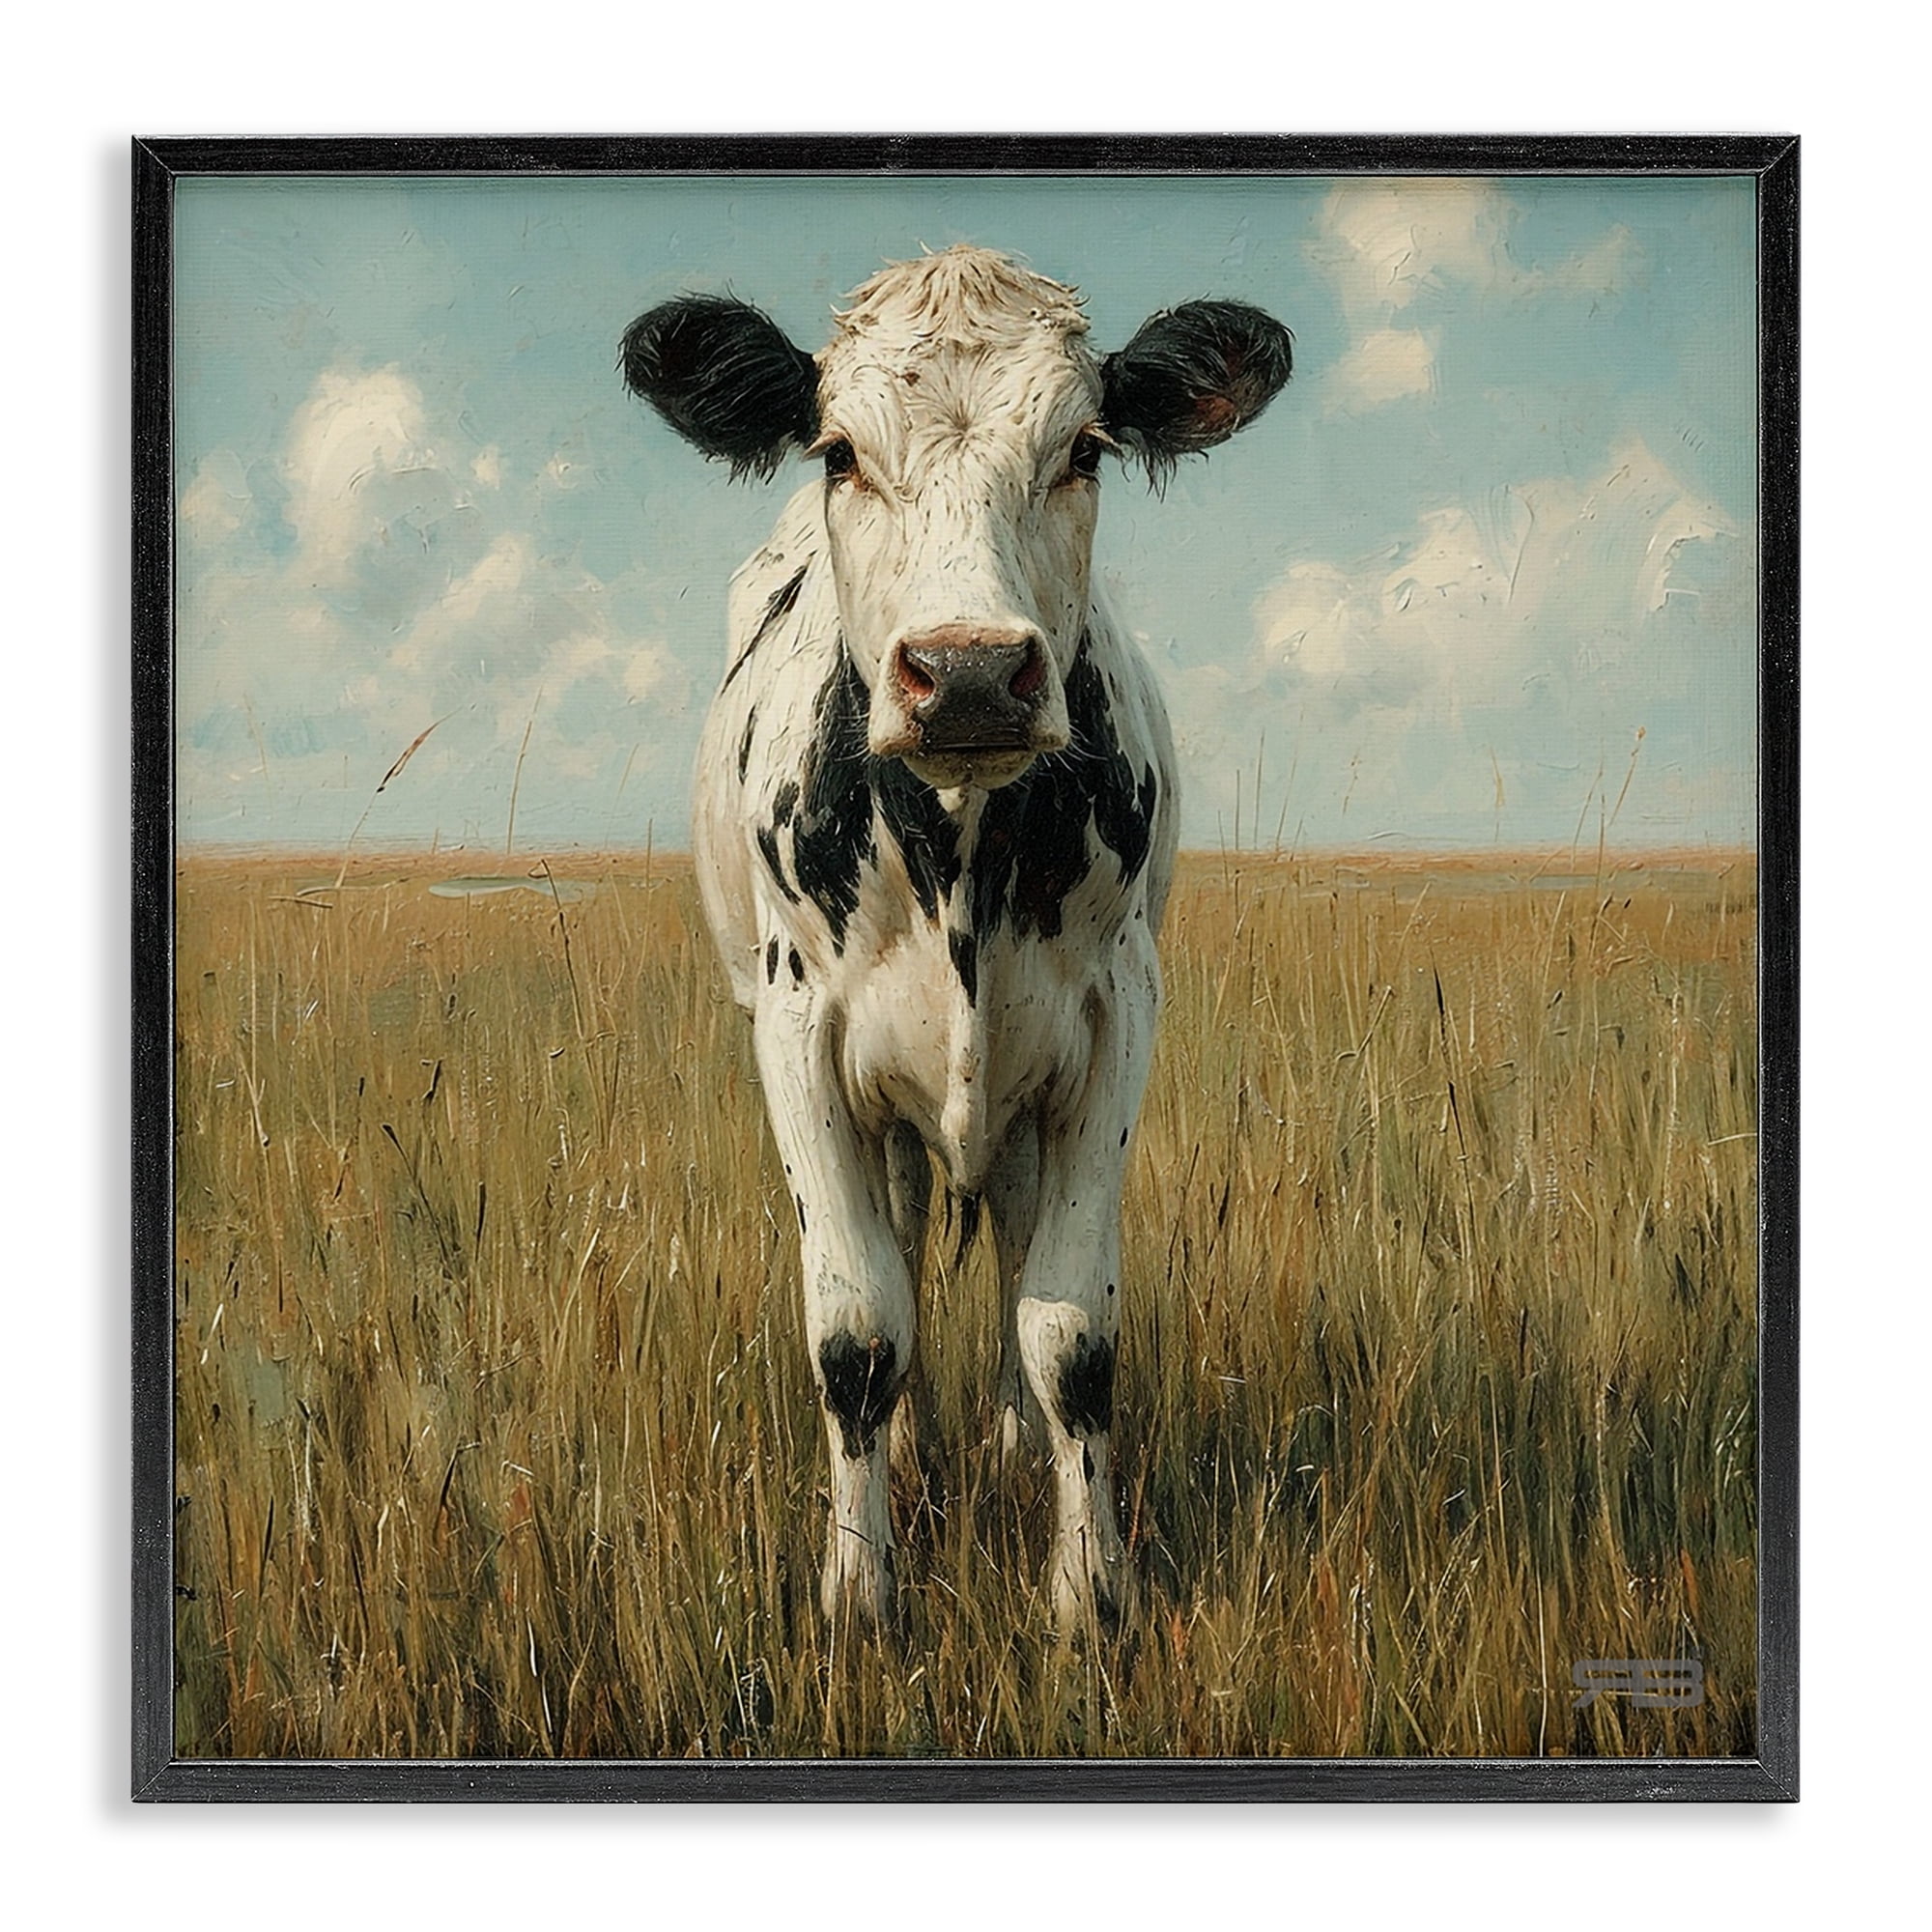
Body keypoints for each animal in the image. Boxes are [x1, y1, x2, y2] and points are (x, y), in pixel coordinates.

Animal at [621, 246, 1292, 1635]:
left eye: (1084, 448)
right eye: (837, 451)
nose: (970, 671)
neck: (960, 857)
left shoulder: (1114, 1016)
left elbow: (1068, 1327)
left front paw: (1088, 1591)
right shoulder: (794, 1028)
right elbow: (859, 1326)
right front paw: (858, 1591)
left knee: (1010, 1245)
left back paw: (1004, 1441)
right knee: (909, 1239)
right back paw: (921, 1448)